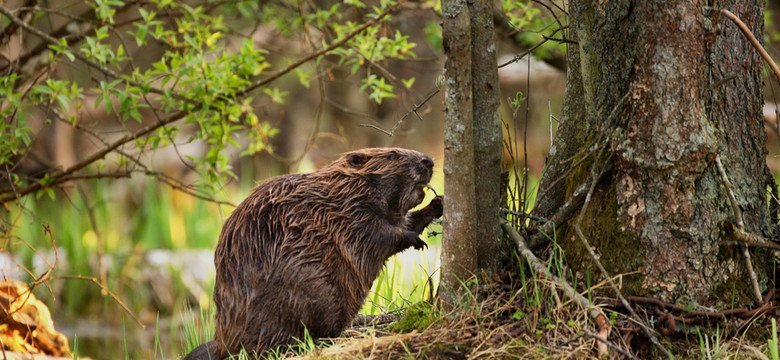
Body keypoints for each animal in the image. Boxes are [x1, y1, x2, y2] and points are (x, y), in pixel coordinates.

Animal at [180, 148, 442, 358]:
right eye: (393, 155)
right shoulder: (351, 214)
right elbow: (379, 234)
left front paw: (438, 203)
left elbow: (406, 220)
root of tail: (222, 346)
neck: (345, 190)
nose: (429, 160)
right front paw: (415, 239)